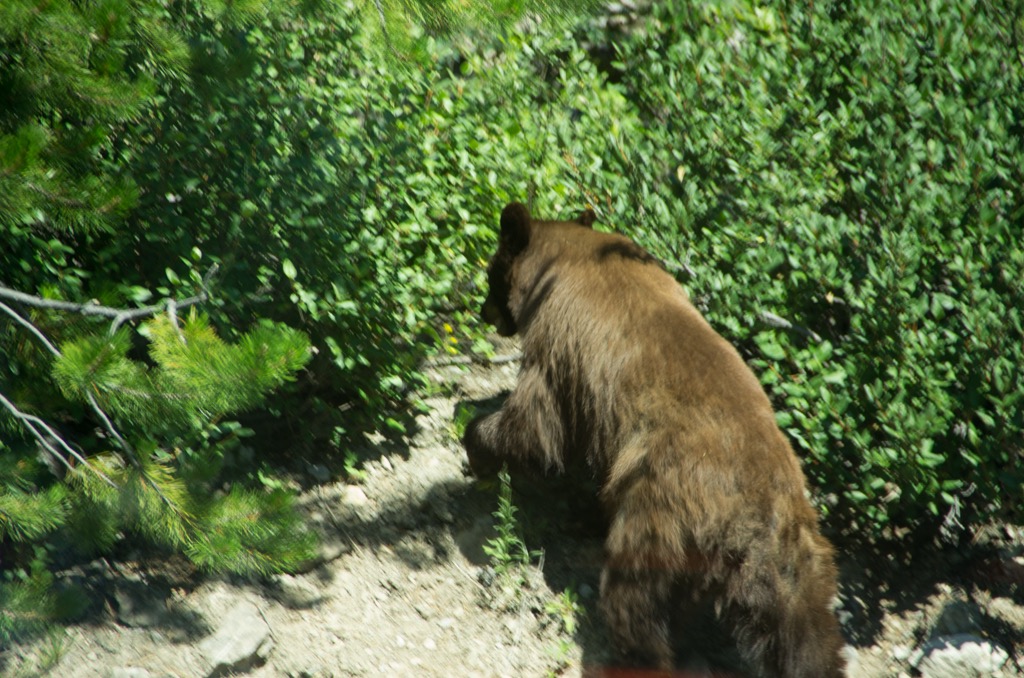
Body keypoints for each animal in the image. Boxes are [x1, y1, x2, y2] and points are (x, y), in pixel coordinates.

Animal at [464, 202, 847, 678]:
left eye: (490, 273)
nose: (484, 313)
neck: (565, 260)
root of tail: (754, 514)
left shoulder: (558, 345)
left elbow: (537, 427)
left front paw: (476, 446)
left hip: (661, 514)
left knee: (635, 599)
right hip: (797, 557)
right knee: (806, 632)